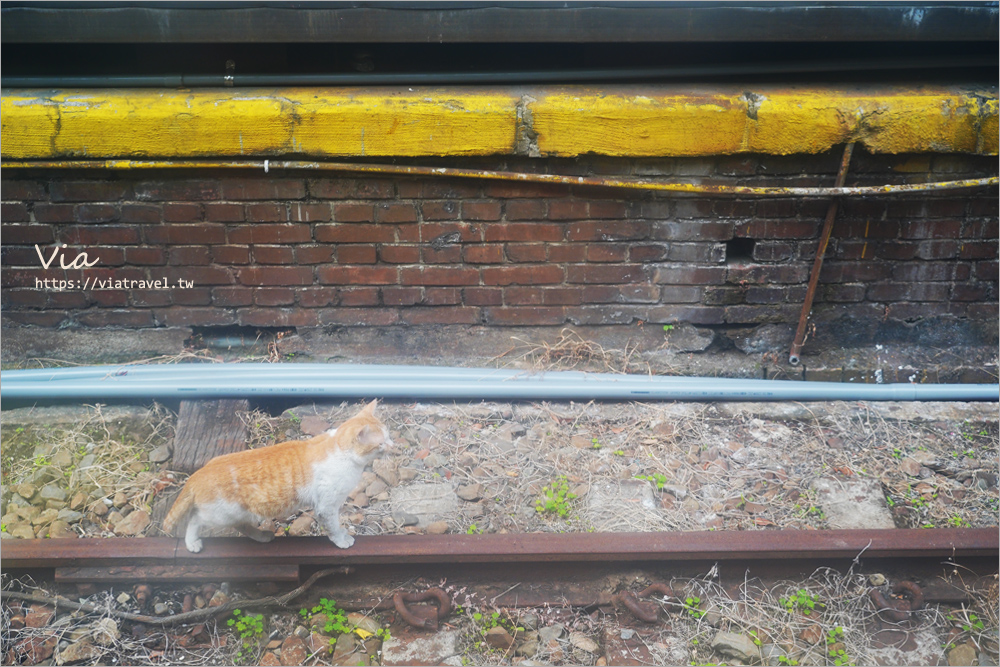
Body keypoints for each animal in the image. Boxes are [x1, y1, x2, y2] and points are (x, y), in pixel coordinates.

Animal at [163, 402, 390, 552]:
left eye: (388, 436)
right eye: (382, 443)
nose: (393, 444)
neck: (339, 449)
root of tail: (198, 474)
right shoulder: (326, 506)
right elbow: (333, 526)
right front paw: (342, 540)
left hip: (239, 514)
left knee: (240, 525)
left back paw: (262, 536)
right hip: (220, 514)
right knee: (195, 519)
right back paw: (192, 542)